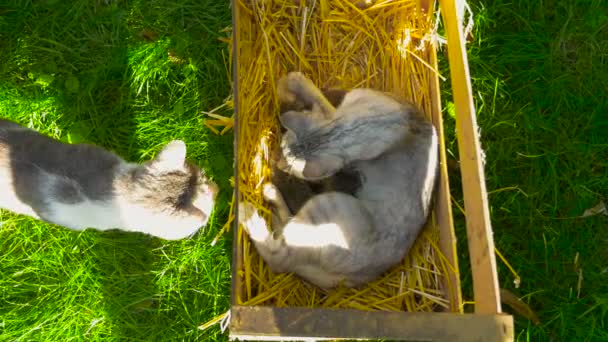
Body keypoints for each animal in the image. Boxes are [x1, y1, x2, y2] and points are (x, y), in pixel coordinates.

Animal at [238, 72, 436, 288]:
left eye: (289, 165)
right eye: (282, 146)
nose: (279, 162)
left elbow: (320, 101)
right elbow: (316, 98)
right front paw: (292, 82)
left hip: (324, 208)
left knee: (278, 256)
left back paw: (249, 210)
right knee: (283, 230)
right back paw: (271, 194)